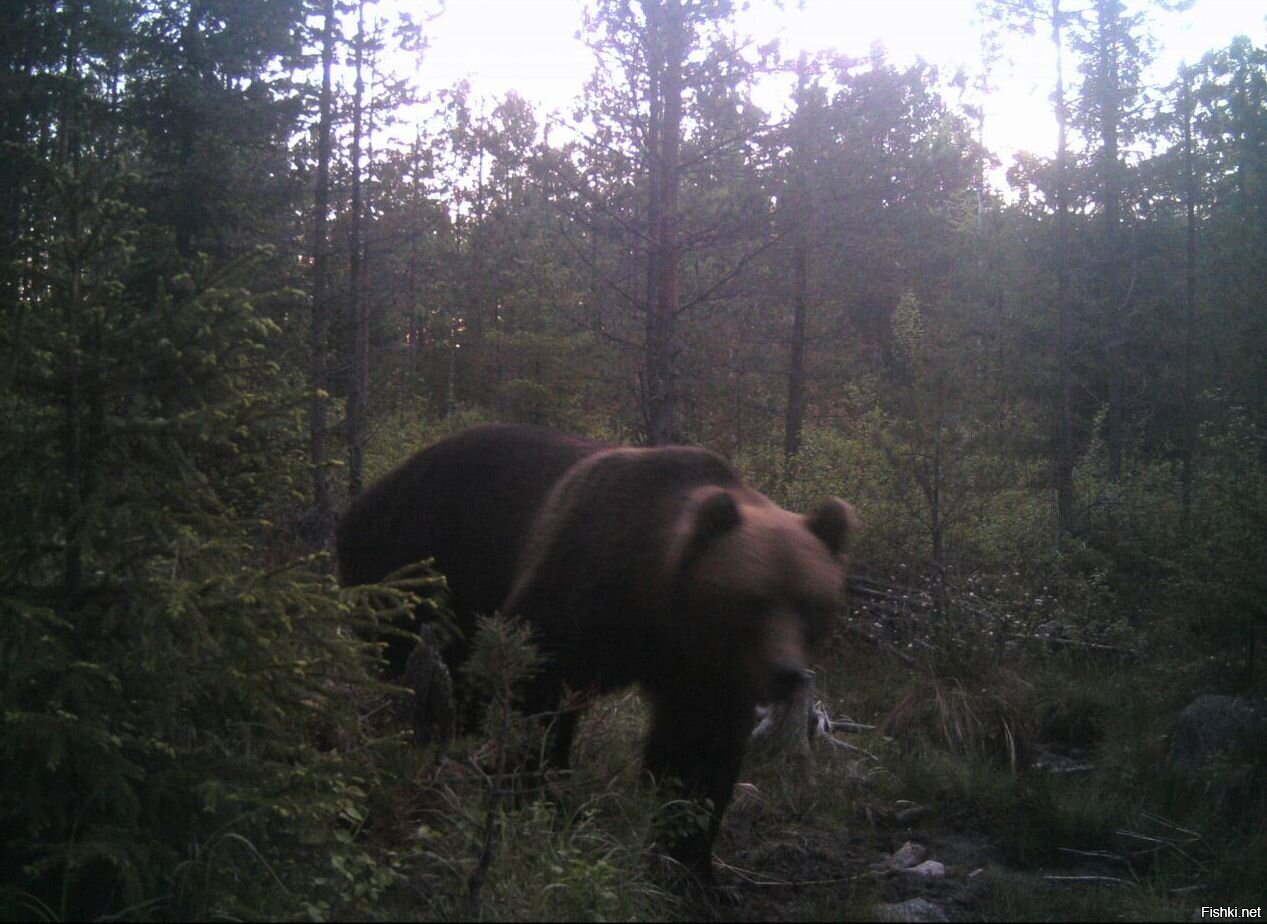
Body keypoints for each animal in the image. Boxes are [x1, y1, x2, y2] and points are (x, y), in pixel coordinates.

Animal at [334, 423, 861, 877]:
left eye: (811, 603)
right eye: (754, 600)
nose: (786, 673)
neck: (654, 600)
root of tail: (364, 496)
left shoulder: (702, 668)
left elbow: (699, 747)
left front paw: (686, 860)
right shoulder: (576, 589)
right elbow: (534, 698)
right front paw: (537, 800)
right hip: (416, 560)